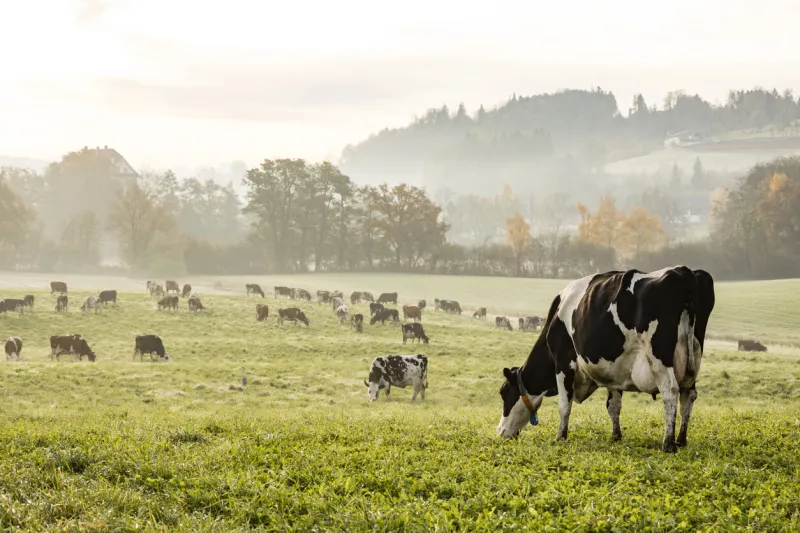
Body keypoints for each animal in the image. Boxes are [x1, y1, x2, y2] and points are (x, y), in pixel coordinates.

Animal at [496, 266, 715, 453]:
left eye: (503, 392)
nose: (500, 431)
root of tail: (683, 271)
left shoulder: (563, 362)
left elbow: (564, 404)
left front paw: (560, 437)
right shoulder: (614, 371)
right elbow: (613, 405)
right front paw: (616, 436)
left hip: (659, 358)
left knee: (670, 391)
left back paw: (668, 443)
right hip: (692, 360)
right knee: (688, 395)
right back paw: (681, 440)